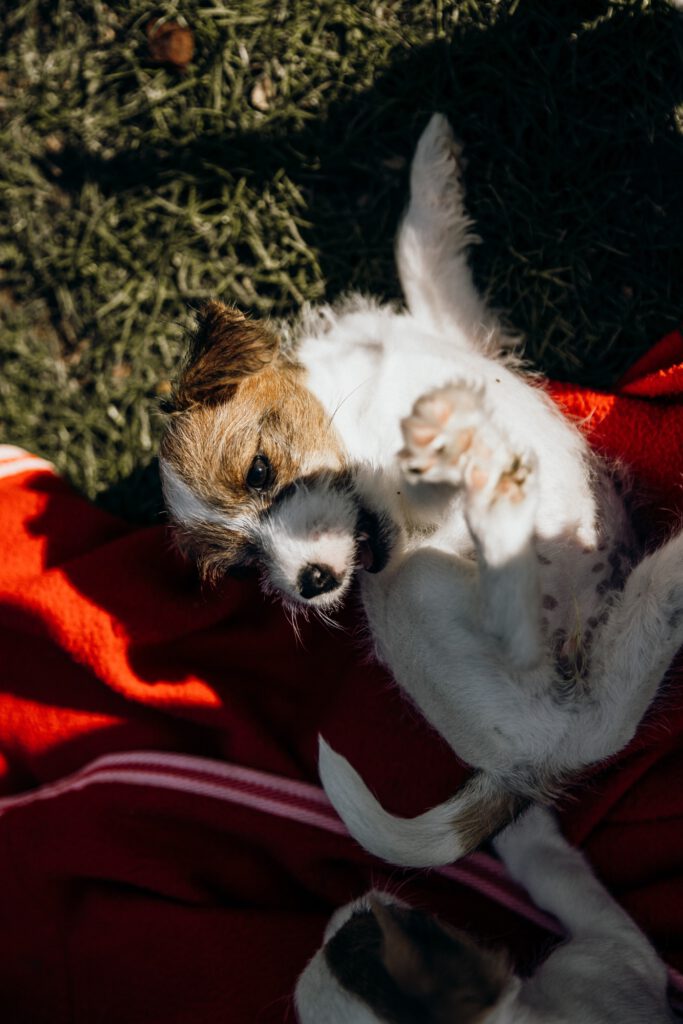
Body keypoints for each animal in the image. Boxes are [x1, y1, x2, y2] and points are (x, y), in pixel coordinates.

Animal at [159, 113, 683, 867]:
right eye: (241, 565)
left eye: (258, 472)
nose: (310, 584)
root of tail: (524, 768)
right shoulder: (403, 530)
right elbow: (418, 483)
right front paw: (450, 452)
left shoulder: (451, 327)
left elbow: (419, 250)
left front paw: (433, 163)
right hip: (423, 592)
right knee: (533, 655)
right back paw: (510, 515)